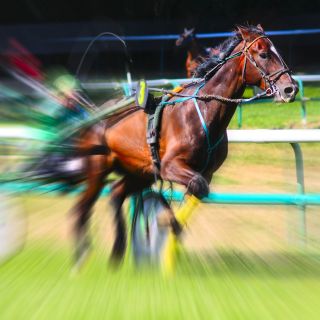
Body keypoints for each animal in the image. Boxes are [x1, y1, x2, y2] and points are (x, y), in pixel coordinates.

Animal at [72, 23, 298, 266]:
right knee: (82, 208)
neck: (204, 111)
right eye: (263, 54)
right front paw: (163, 224)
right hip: (97, 168)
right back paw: (81, 257)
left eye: (277, 51)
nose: (290, 89)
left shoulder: (206, 171)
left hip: (139, 172)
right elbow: (194, 189)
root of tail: (95, 112)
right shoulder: (169, 166)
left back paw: (117, 250)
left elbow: (199, 191)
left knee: (115, 193)